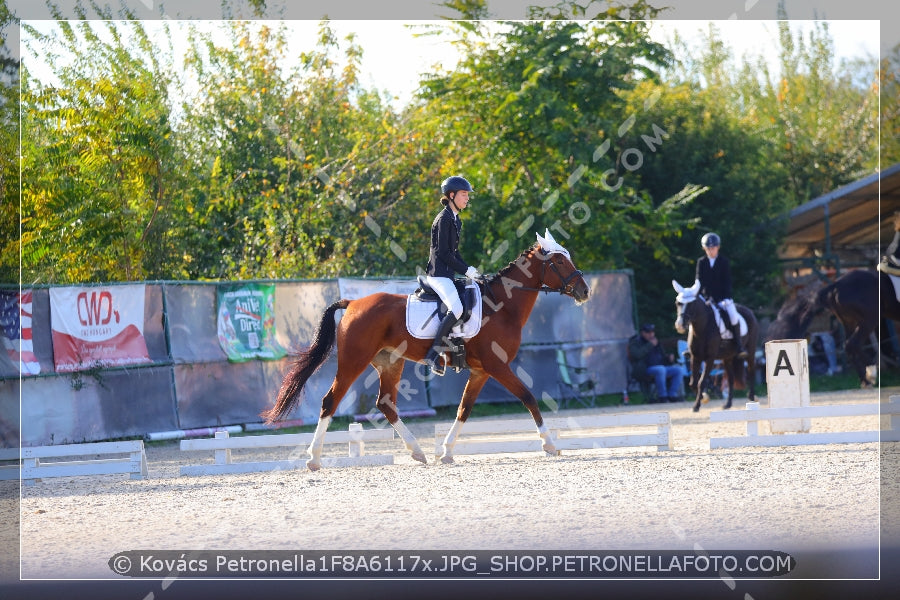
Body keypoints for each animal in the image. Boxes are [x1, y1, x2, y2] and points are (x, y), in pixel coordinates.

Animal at [260, 230, 592, 468]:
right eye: (559, 262)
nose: (585, 291)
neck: (501, 307)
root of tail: (353, 303)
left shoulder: (482, 371)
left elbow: (464, 409)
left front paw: (446, 452)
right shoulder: (497, 366)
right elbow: (528, 397)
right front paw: (549, 445)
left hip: (391, 363)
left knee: (386, 404)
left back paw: (417, 452)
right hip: (354, 361)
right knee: (331, 401)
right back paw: (314, 459)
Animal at [672, 278, 756, 410]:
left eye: (691, 304)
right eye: (677, 303)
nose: (680, 325)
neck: (702, 329)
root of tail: (748, 311)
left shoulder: (710, 359)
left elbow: (701, 381)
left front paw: (697, 405)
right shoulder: (695, 357)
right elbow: (693, 383)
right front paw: (703, 398)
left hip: (750, 351)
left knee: (752, 371)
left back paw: (751, 397)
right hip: (727, 358)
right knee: (731, 379)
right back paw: (727, 404)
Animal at [768, 270, 900, 386]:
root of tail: (836, 284)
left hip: (850, 322)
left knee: (849, 346)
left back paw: (865, 380)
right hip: (870, 319)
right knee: (853, 344)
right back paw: (871, 372)